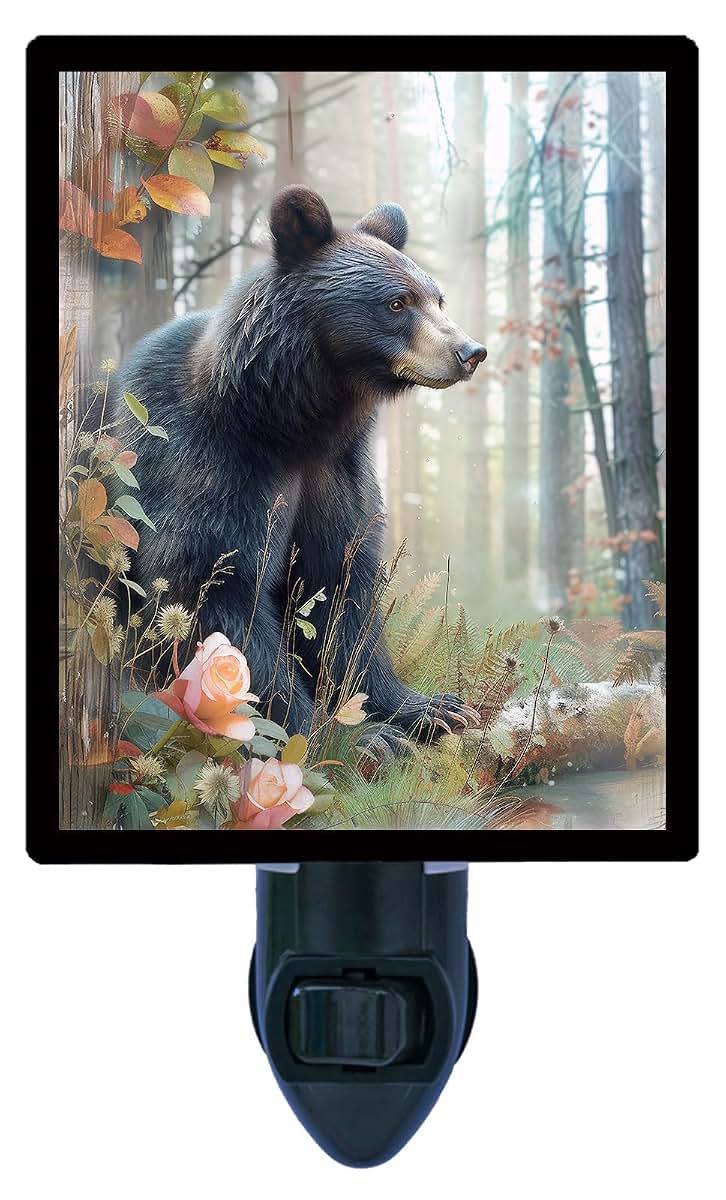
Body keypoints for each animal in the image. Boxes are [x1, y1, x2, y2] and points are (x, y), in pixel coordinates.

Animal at [114, 186, 487, 744]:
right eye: (397, 303)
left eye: (436, 297)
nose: (470, 351)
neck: (291, 422)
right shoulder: (212, 462)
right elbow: (215, 587)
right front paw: (345, 736)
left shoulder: (335, 471)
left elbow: (340, 586)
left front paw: (428, 708)